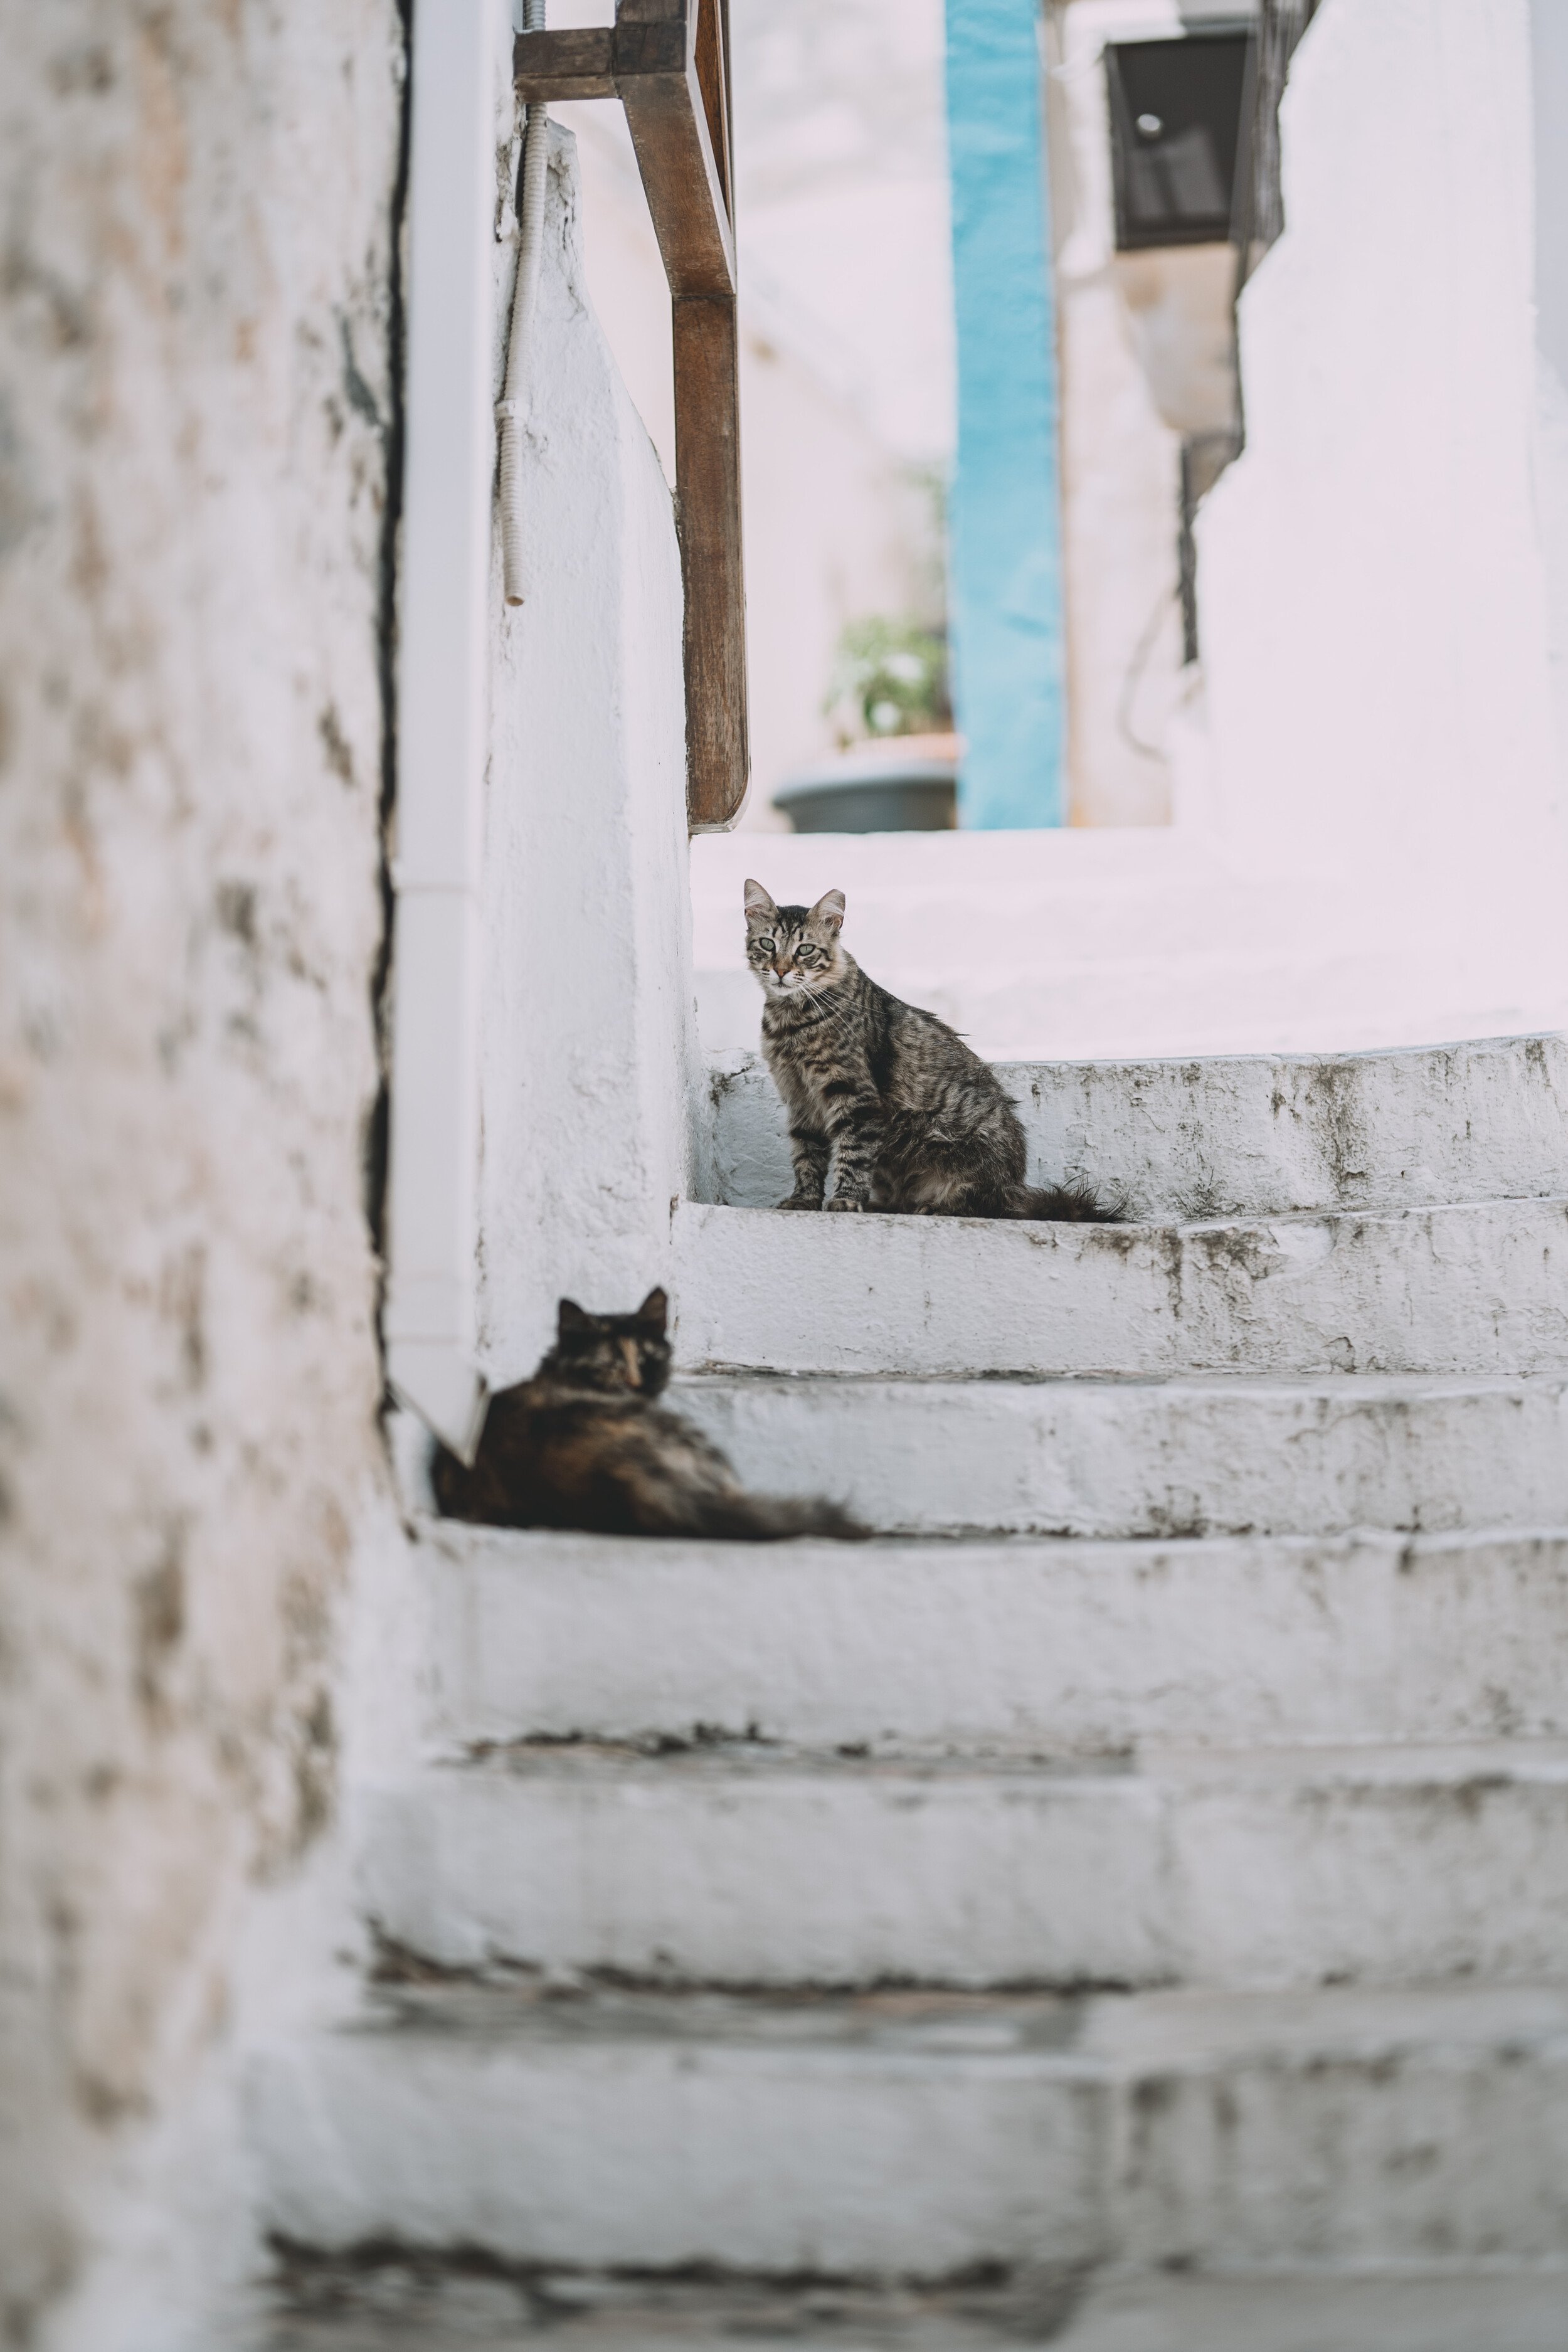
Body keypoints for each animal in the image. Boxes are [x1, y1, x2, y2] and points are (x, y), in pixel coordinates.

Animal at [747, 875, 1114, 1223]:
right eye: (768, 944)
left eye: (805, 950)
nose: (781, 971)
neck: (789, 1021)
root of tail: (1015, 1189)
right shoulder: (799, 1098)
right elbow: (807, 1157)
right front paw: (804, 1201)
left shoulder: (855, 1097)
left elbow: (852, 1156)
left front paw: (846, 1201)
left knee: (982, 1205)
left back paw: (934, 1208)